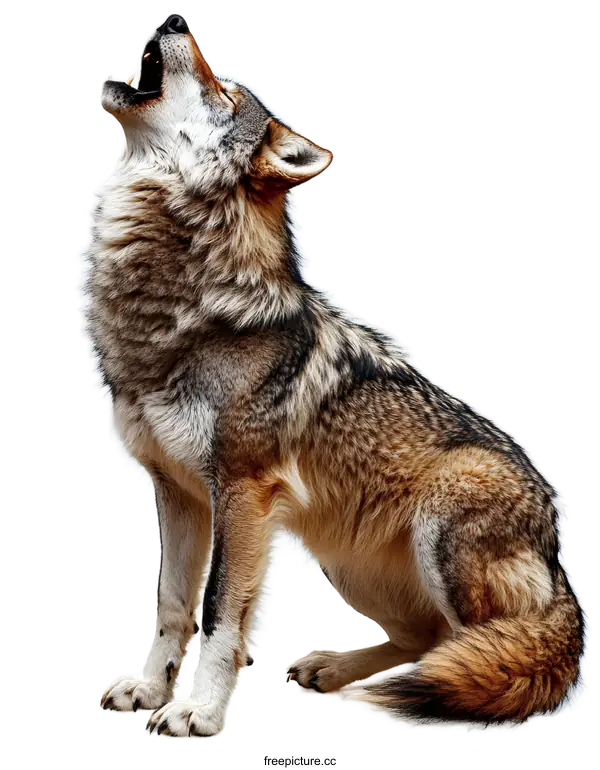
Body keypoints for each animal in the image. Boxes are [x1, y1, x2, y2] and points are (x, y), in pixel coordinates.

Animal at [78, 14, 589, 739]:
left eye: (224, 90)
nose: (173, 20)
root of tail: (558, 558)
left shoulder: (244, 495)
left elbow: (222, 613)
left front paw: (199, 712)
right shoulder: (177, 495)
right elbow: (173, 605)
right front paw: (151, 691)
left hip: (444, 518)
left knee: (489, 650)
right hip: (347, 563)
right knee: (429, 639)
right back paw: (338, 673)